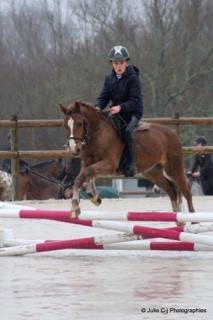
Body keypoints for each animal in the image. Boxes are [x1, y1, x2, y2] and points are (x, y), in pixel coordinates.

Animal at [60, 100, 195, 215]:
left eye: (79, 123)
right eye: (65, 125)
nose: (74, 149)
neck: (98, 134)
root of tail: (172, 133)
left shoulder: (109, 164)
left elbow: (87, 173)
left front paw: (76, 206)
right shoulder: (88, 162)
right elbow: (82, 177)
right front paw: (93, 197)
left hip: (173, 168)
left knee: (186, 190)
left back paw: (192, 219)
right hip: (153, 172)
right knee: (171, 190)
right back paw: (179, 220)